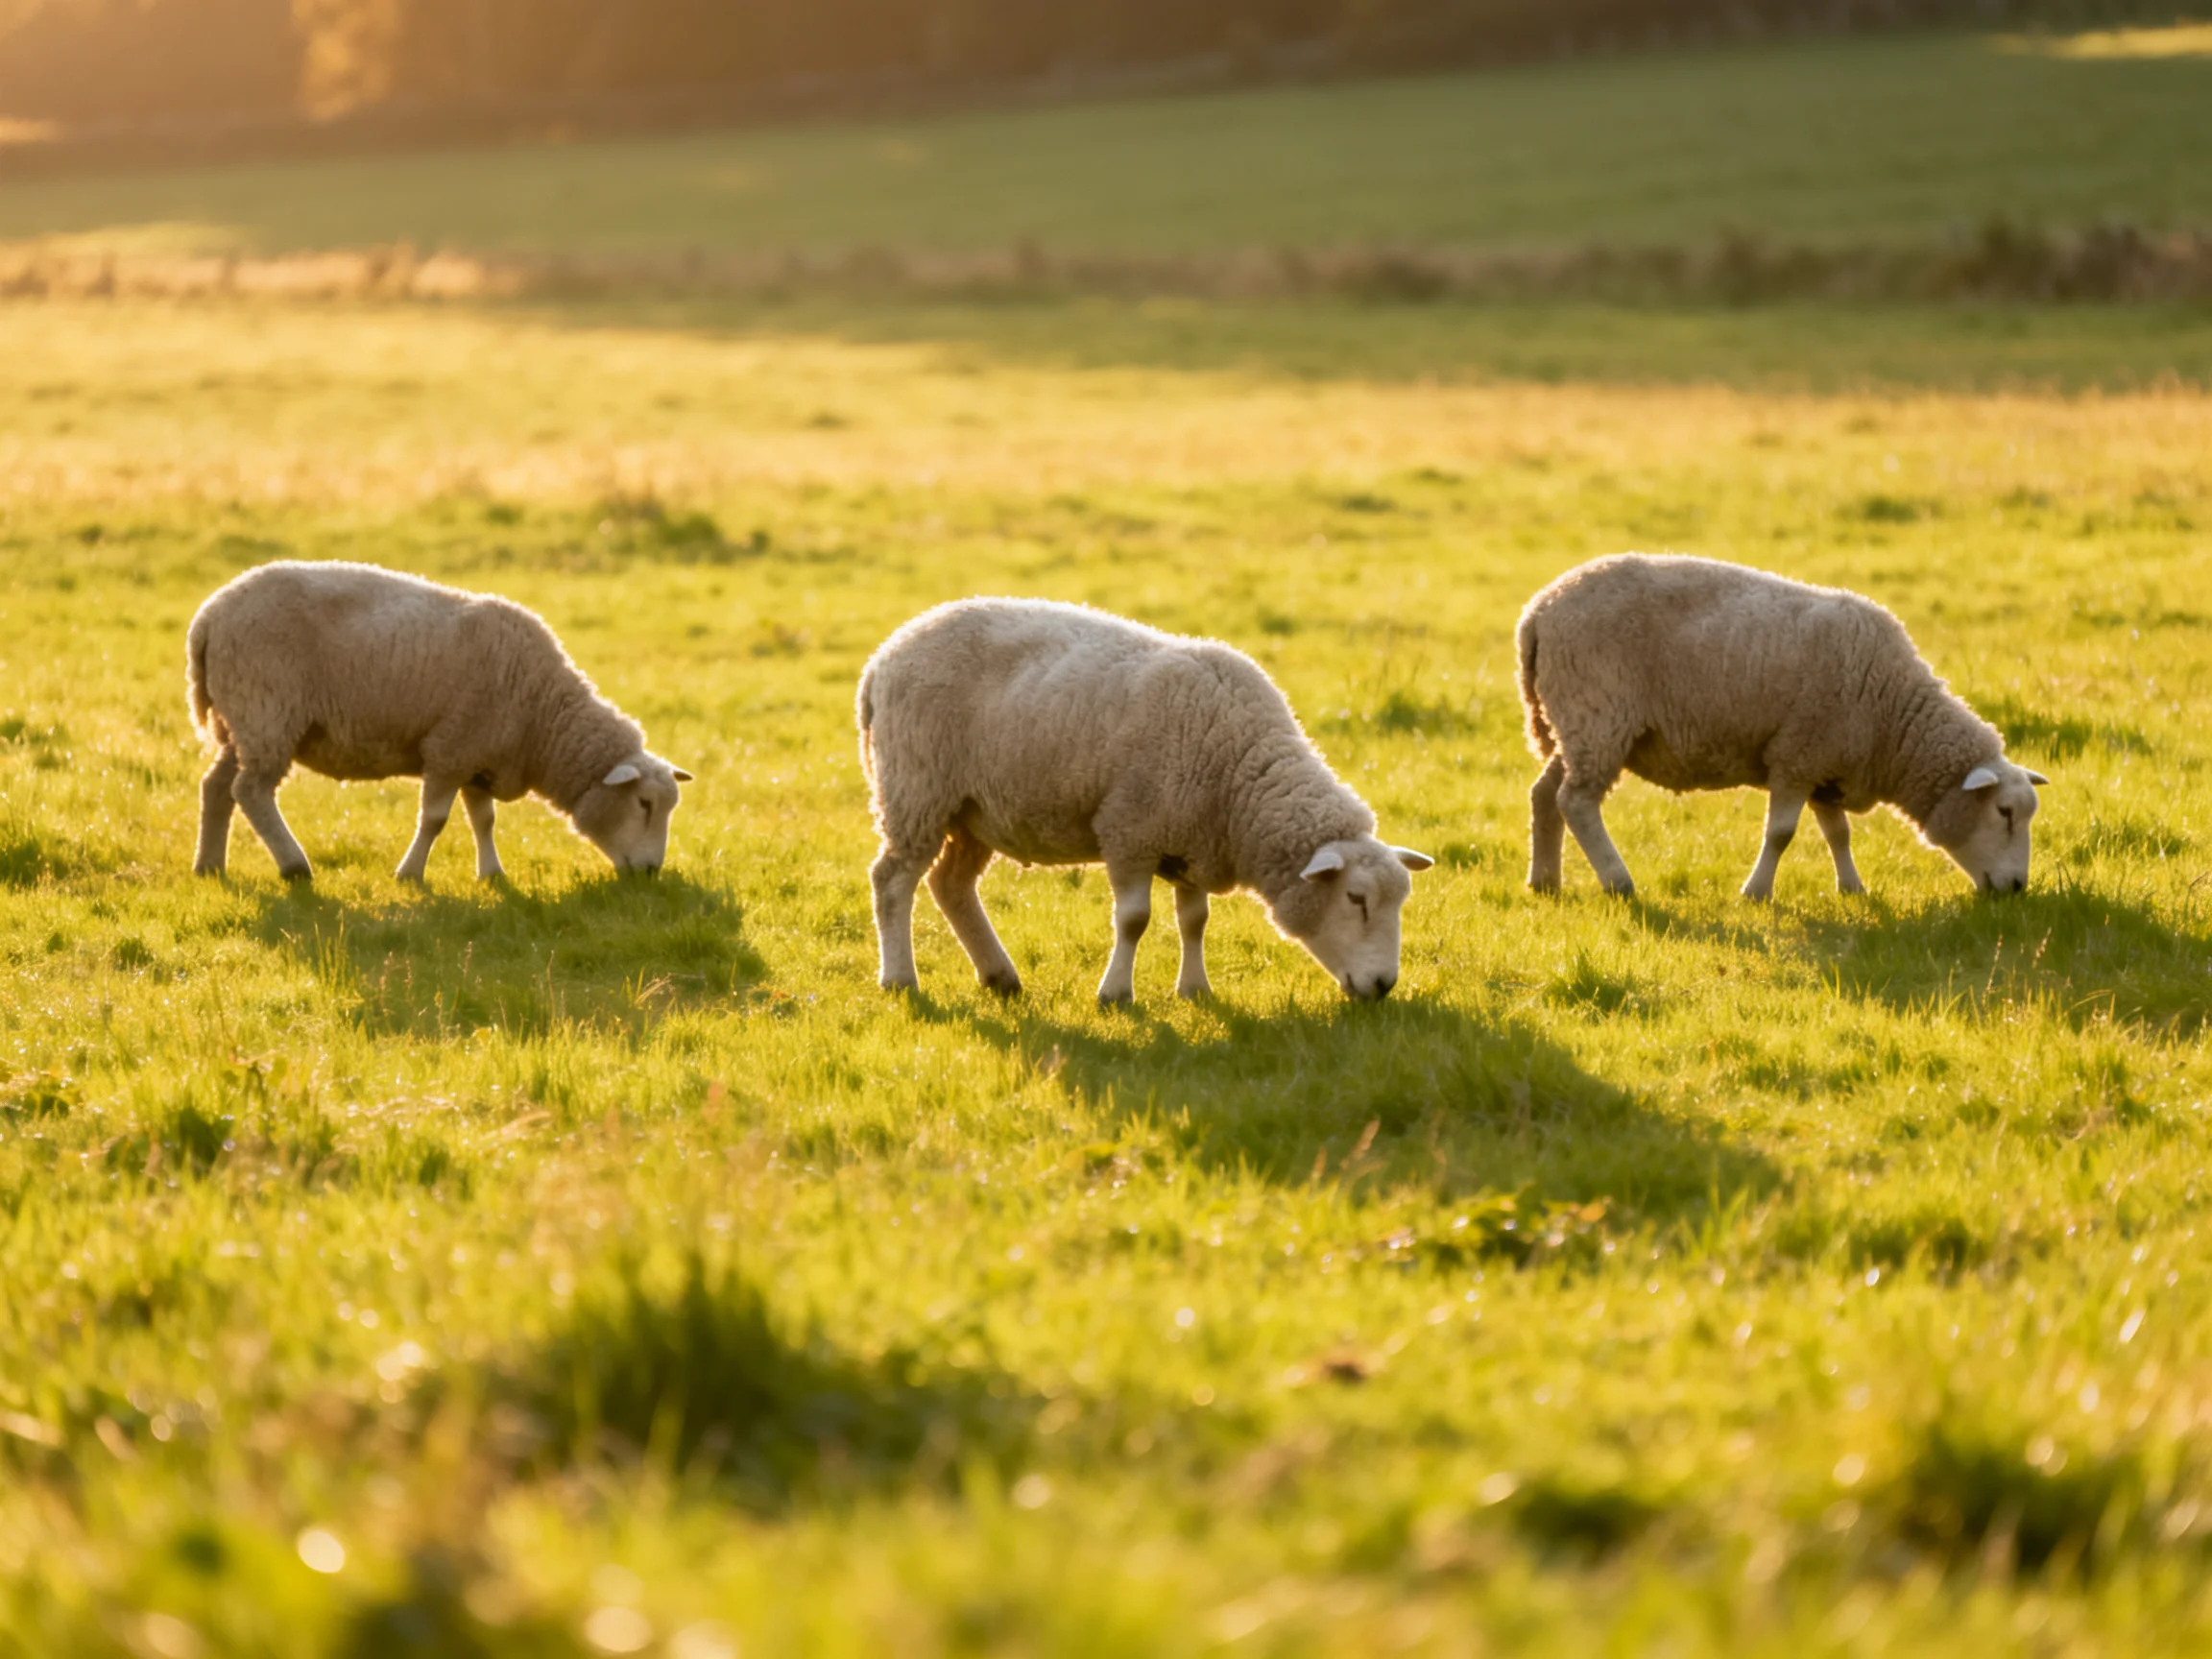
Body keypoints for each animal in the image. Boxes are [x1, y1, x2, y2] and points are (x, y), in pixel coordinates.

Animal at [187, 561, 691, 884]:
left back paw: (209, 865)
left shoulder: (477, 758)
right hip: (267, 711)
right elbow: (435, 819)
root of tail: (209, 616)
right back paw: (294, 867)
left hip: (243, 722)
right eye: (644, 803)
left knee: (217, 787)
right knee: (251, 792)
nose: (651, 873)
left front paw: (492, 875)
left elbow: (484, 820)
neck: (544, 717)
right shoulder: (450, 749)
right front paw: (410, 874)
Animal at [858, 598, 1433, 1004]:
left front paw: (1195, 990)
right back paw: (899, 979)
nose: (1384, 986)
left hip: (973, 811)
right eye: (1356, 899)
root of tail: (883, 657)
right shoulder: (1130, 830)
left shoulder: (1192, 838)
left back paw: (1000, 976)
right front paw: (1115, 994)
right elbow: (1135, 919)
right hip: (915, 789)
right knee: (893, 880)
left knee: (950, 885)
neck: (1240, 775)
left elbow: (1195, 919)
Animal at [1515, 553, 2047, 900]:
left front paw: (1852, 889)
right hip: (1598, 715)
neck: (1893, 719)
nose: (2017, 889)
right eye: (2004, 812)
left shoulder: (1825, 765)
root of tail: (1538, 610)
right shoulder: (1796, 756)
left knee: (1544, 795)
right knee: (1576, 802)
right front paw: (1756, 892)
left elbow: (1838, 834)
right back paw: (1617, 882)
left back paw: (1544, 881)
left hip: (1574, 723)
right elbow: (1782, 834)